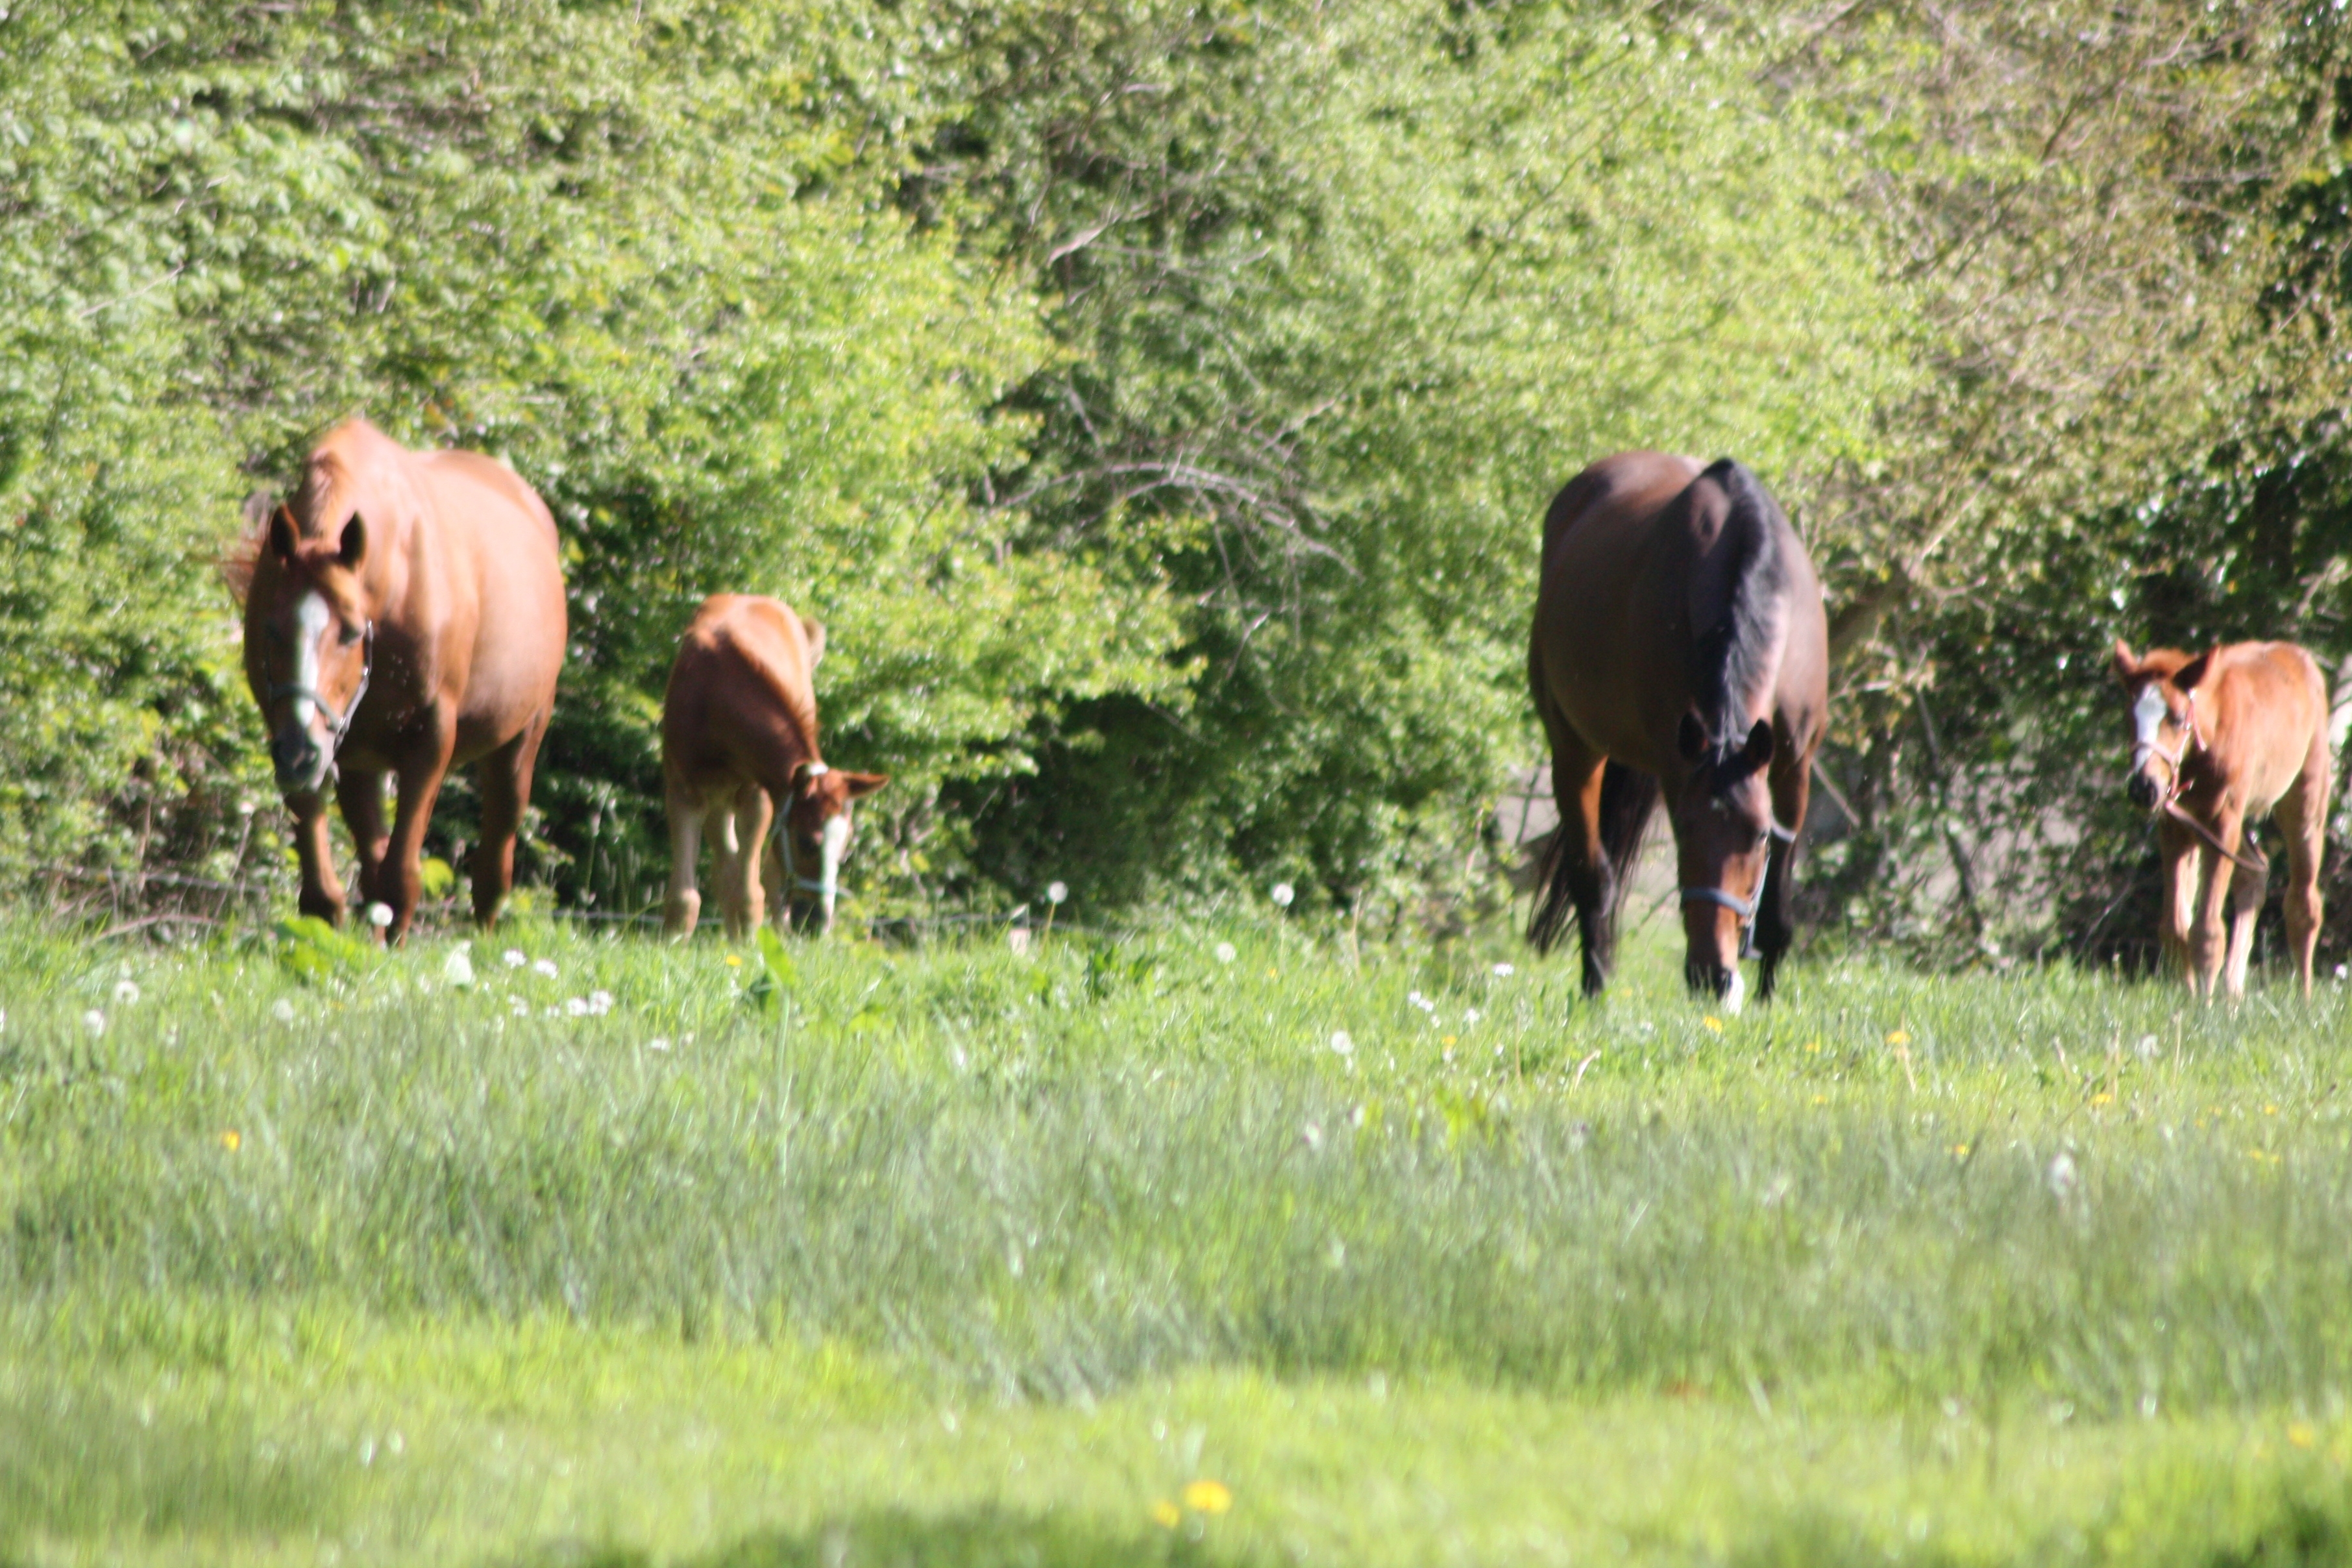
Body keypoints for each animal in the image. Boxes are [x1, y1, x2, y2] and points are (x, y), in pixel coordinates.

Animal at [231, 416, 567, 945]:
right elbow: (336, 877)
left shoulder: (429, 738)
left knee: (495, 860)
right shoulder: (309, 736)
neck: (394, 577)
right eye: (271, 628)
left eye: (350, 630)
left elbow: (398, 875)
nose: (300, 752)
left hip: (521, 739)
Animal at [663, 594, 888, 940]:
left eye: (846, 847)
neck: (713, 693)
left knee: (761, 873)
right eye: (807, 842)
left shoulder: (758, 793)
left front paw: (751, 945)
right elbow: (684, 897)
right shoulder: (682, 789)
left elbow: (750, 891)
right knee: (728, 869)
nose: (816, 922)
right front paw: (674, 943)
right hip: (718, 798)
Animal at [1524, 451, 1834, 1020]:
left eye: (1759, 834)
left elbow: (1777, 902)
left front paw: (1767, 998)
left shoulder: (1793, 765)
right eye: (1684, 832)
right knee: (1592, 876)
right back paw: (1594, 988)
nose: (1713, 977)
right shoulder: (1675, 766)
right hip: (1575, 751)